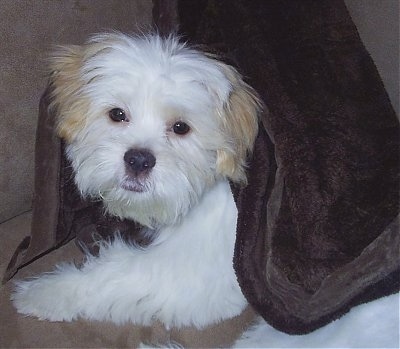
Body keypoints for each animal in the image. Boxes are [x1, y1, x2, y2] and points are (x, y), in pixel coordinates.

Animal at [10, 32, 260, 328]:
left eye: (181, 128)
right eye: (117, 114)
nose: (139, 160)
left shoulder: (192, 268)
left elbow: (112, 275)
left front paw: (44, 293)